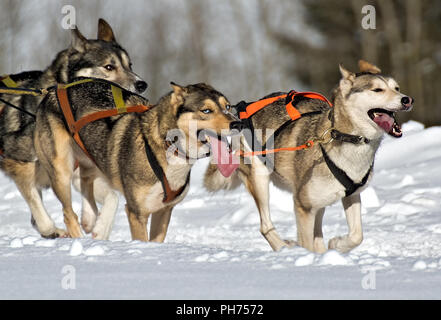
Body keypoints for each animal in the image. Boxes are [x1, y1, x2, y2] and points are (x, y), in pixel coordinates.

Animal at [0, 17, 148, 238]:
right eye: (109, 66)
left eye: (129, 65)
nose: (142, 85)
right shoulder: (19, 166)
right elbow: (44, 220)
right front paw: (58, 231)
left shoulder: (80, 170)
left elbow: (111, 197)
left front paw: (97, 226)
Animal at [35, 81, 241, 241]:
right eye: (206, 110)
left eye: (228, 107)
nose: (237, 123)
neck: (166, 145)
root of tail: (53, 91)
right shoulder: (137, 212)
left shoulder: (163, 211)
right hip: (61, 171)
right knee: (68, 213)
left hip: (92, 159)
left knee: (87, 183)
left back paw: (91, 220)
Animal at [203, 60, 412, 252]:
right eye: (377, 90)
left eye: (397, 88)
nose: (407, 99)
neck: (344, 138)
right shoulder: (302, 206)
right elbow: (307, 241)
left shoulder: (351, 195)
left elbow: (357, 235)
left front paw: (337, 244)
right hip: (260, 178)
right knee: (266, 226)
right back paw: (285, 248)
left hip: (318, 202)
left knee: (317, 233)